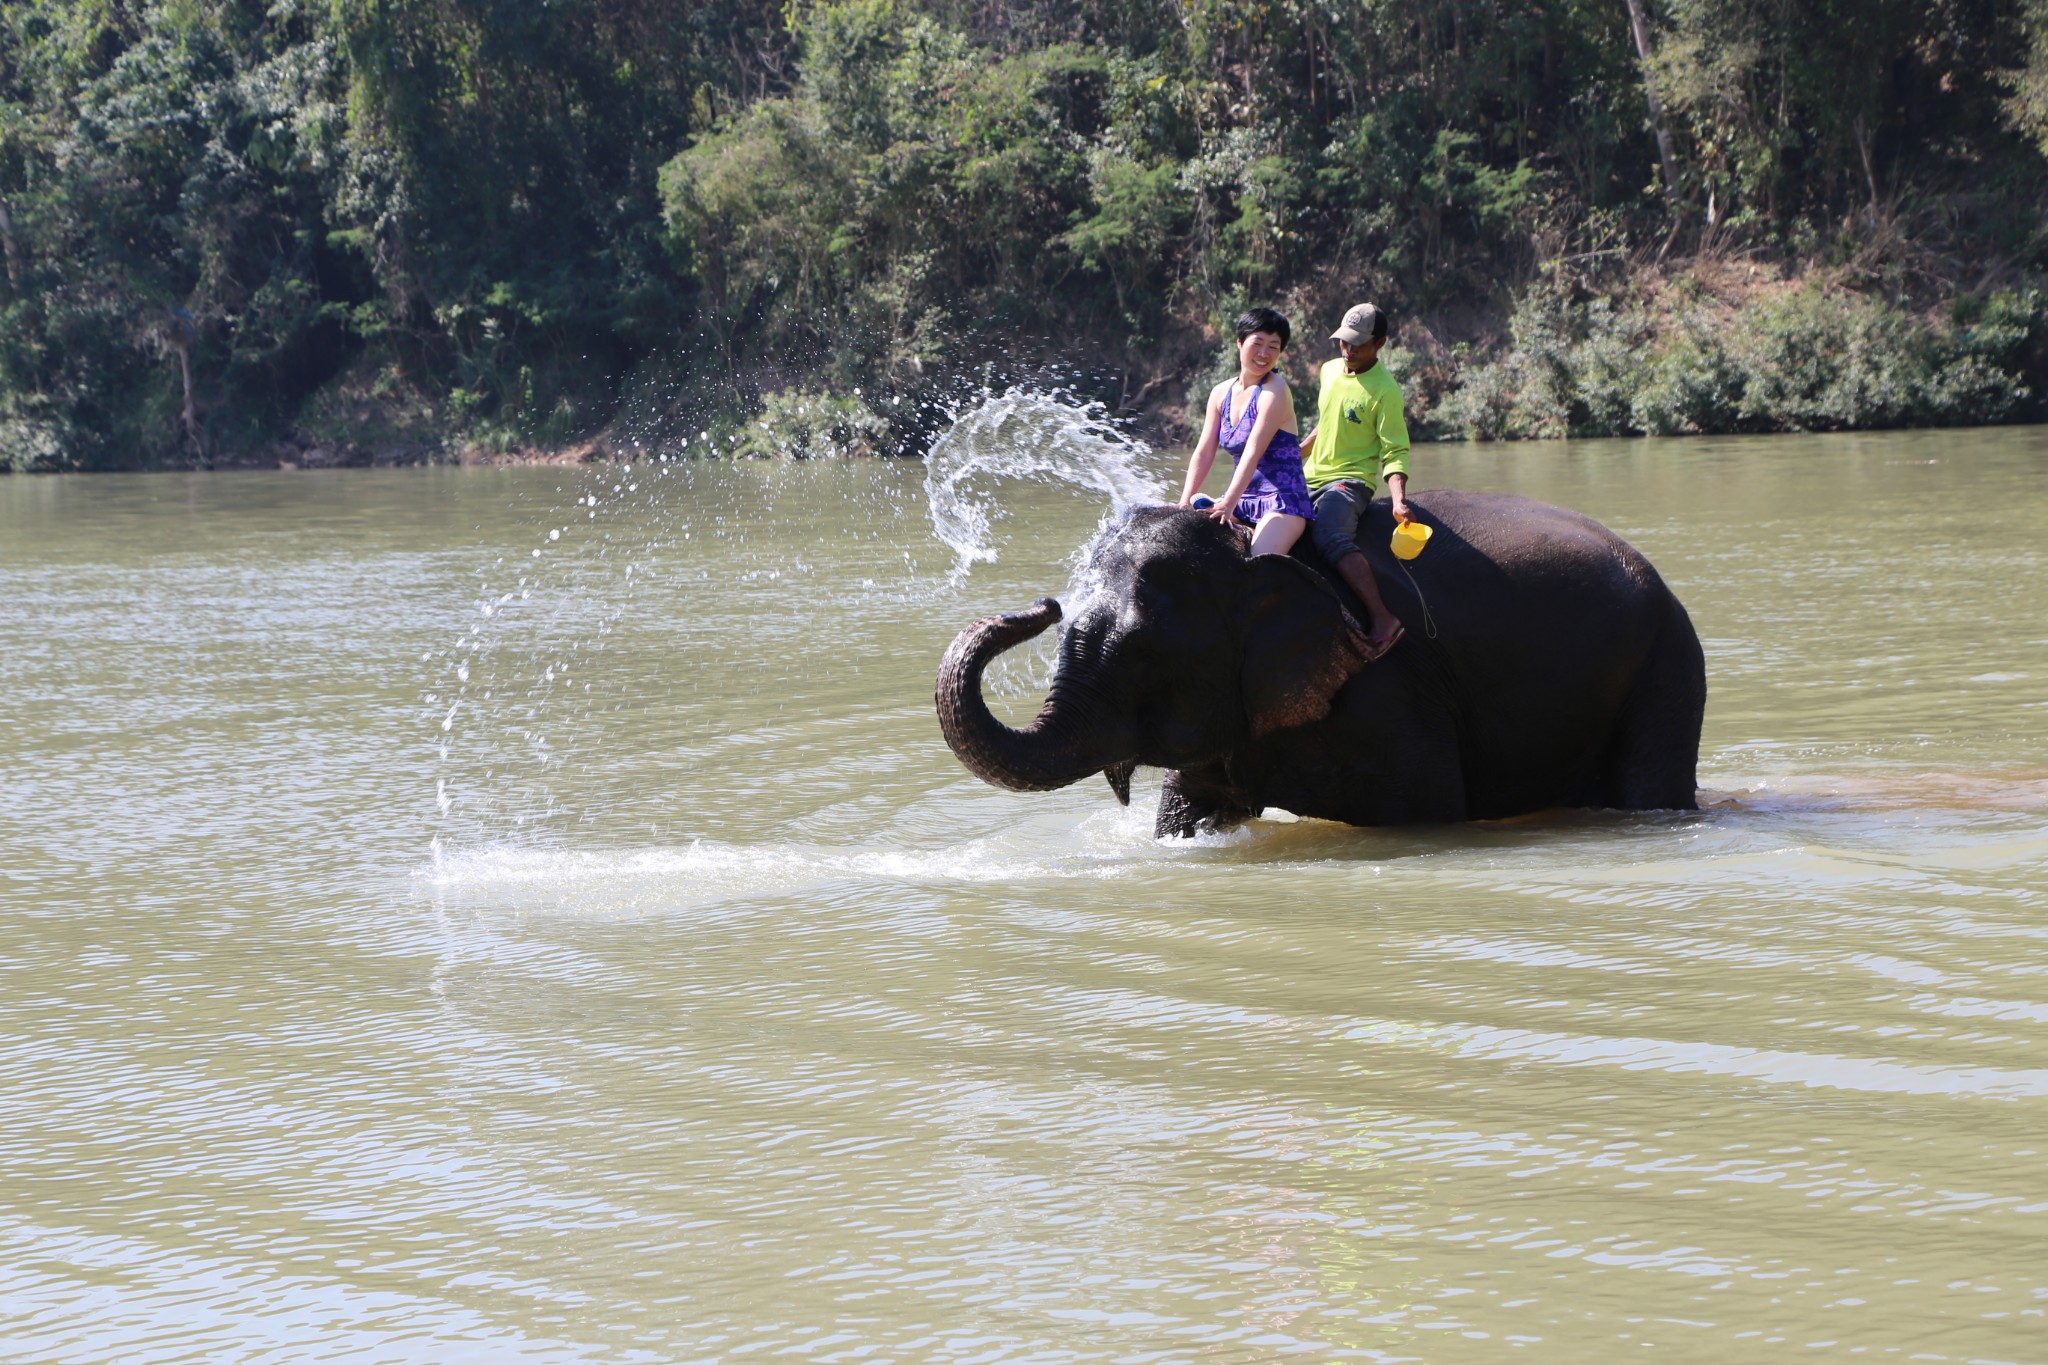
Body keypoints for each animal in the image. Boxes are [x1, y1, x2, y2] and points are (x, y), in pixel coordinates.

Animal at [937, 491, 1703, 834]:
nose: (1040, 604)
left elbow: (1425, 810)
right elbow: (1186, 810)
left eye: (1139, 648)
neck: (1250, 551)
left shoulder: (1390, 694)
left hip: (1668, 666)